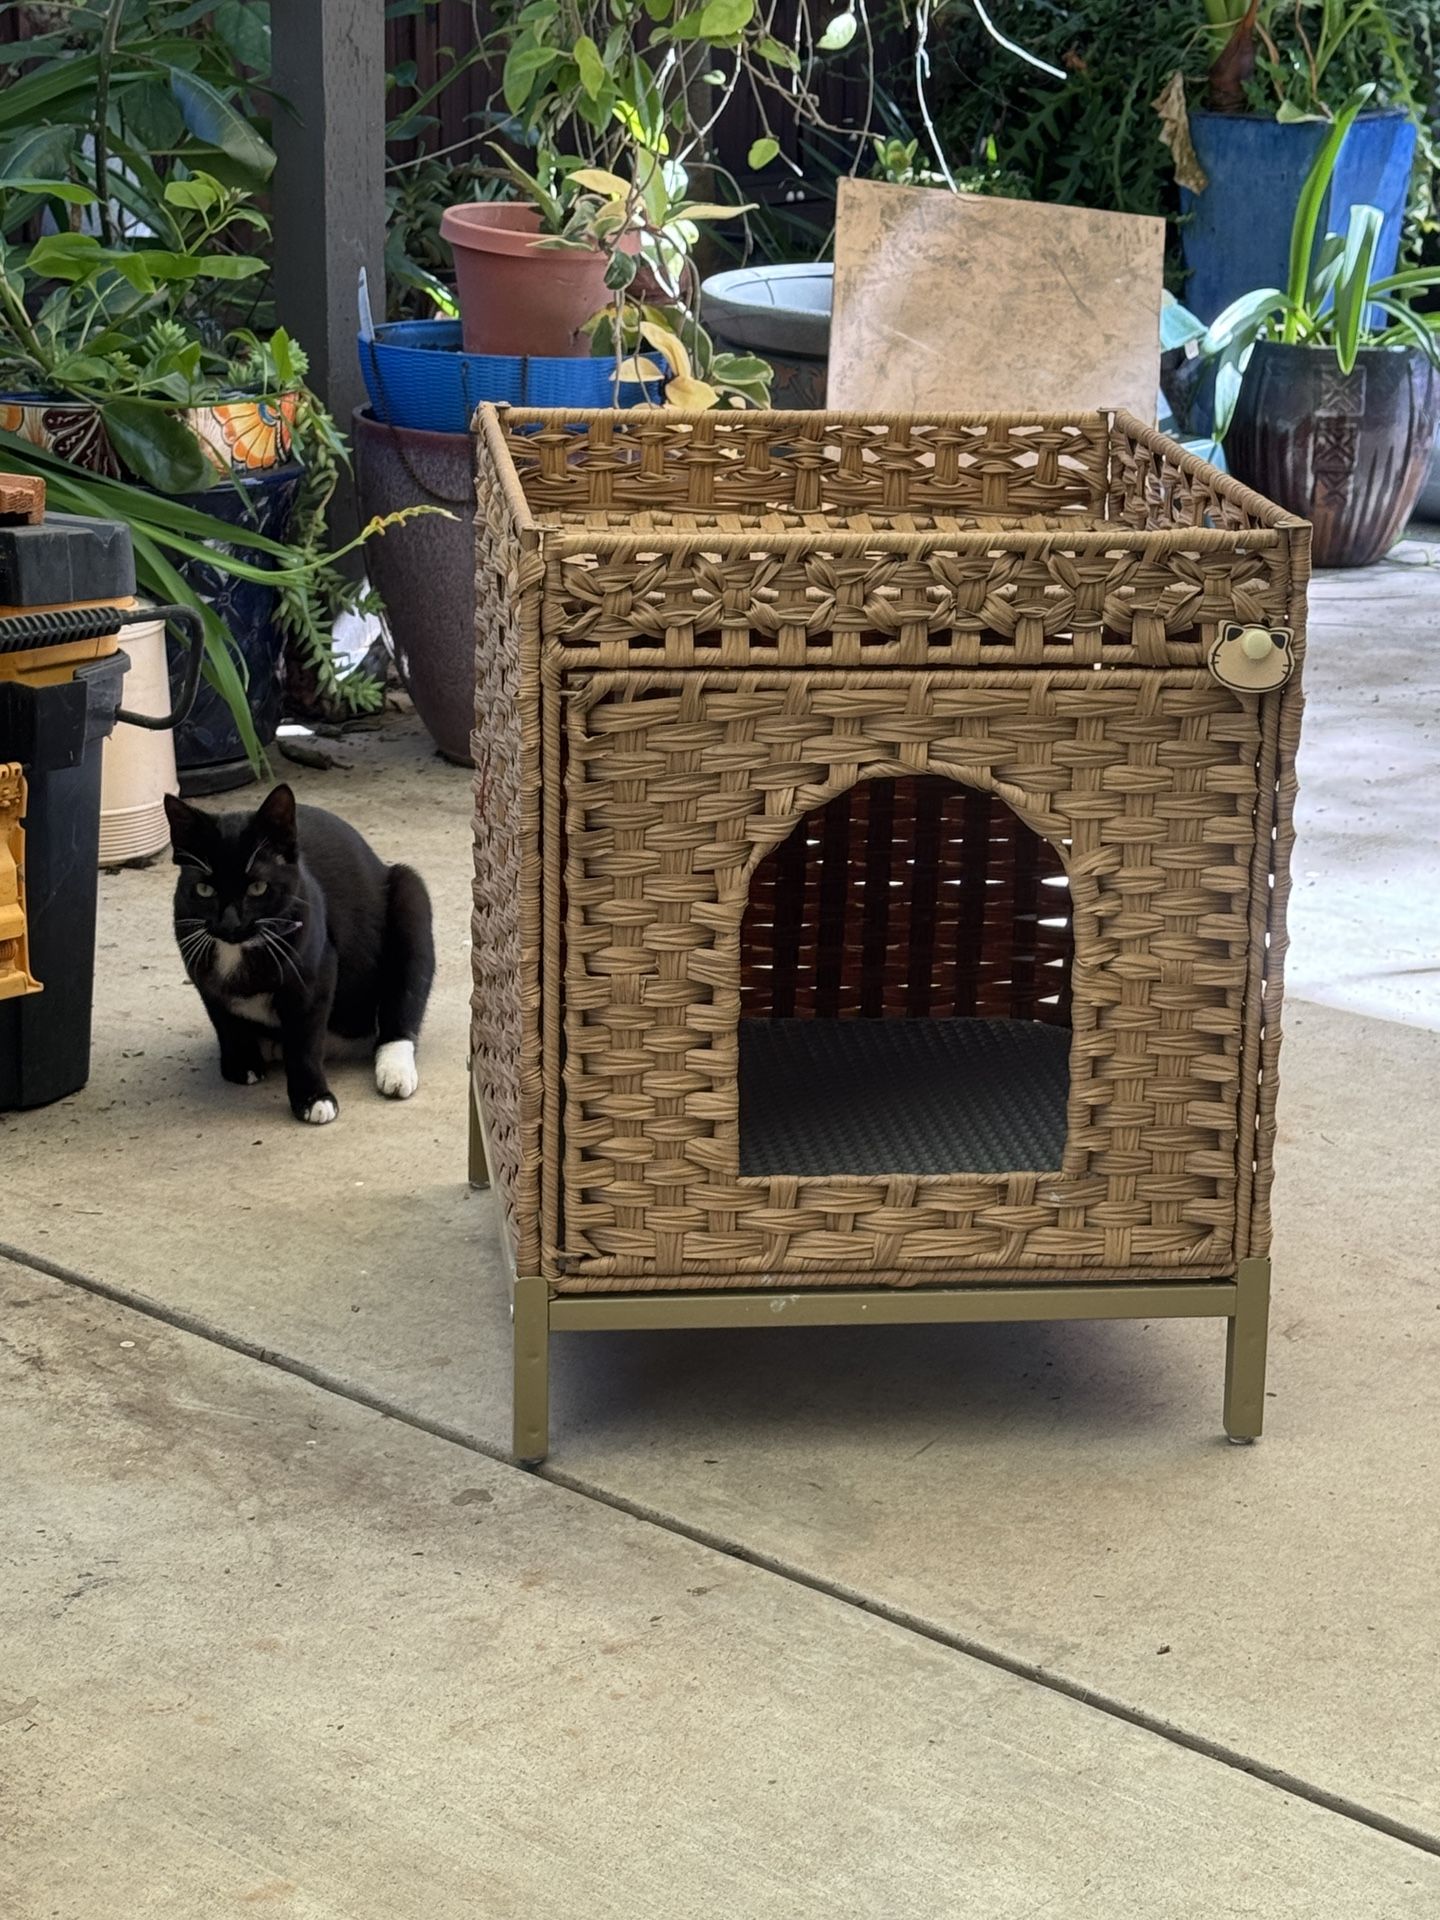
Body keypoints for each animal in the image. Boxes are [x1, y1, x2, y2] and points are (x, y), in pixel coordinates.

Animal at [164, 783, 435, 1126]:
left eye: (258, 887)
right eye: (203, 890)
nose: (229, 923)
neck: (237, 949)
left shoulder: (315, 976)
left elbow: (304, 1043)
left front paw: (314, 1099)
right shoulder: (202, 974)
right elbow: (223, 1019)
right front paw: (241, 1062)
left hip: (410, 897)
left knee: (402, 1003)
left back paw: (395, 1070)